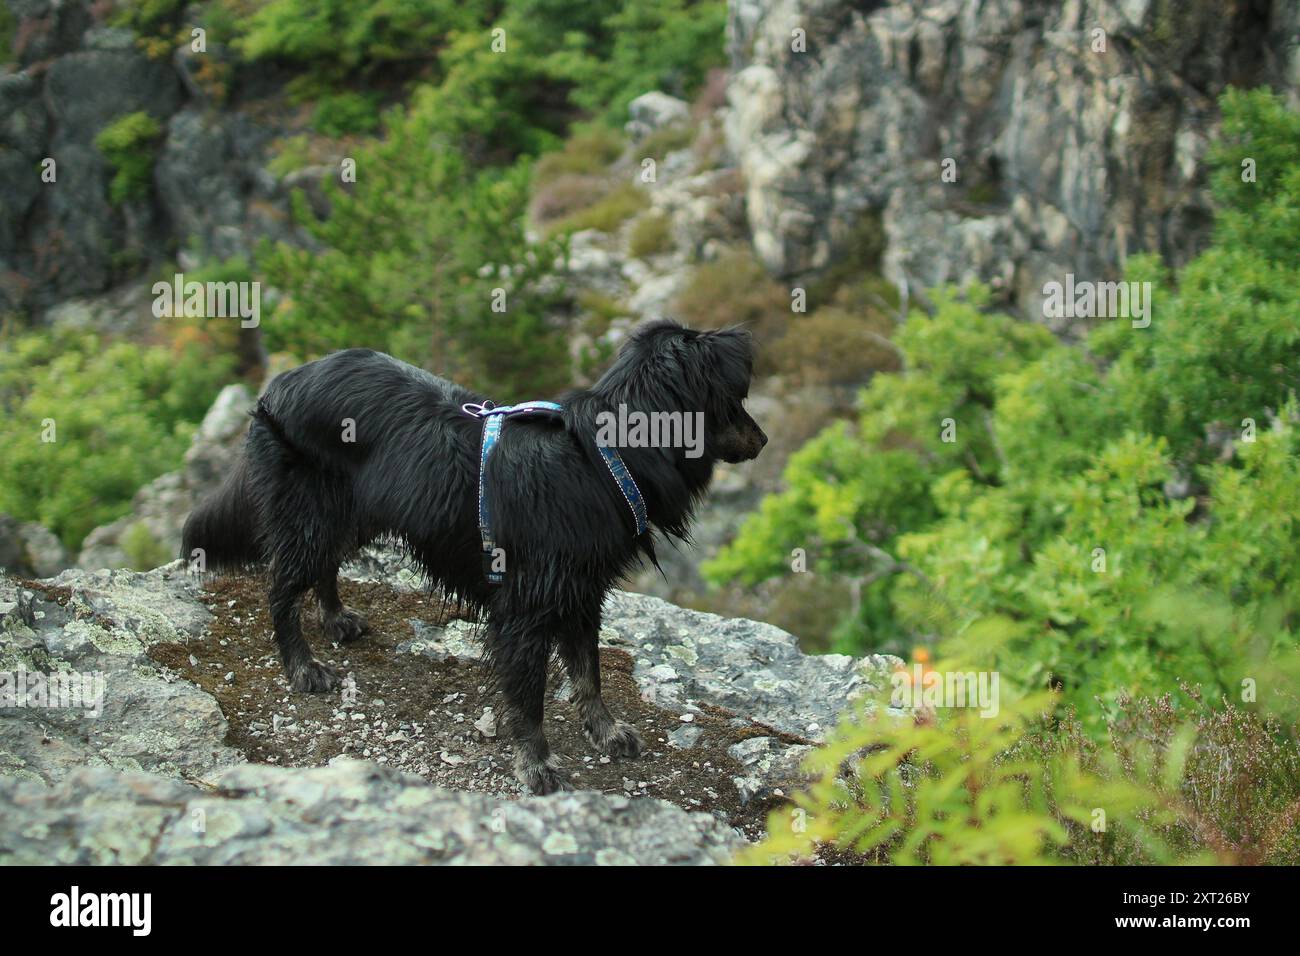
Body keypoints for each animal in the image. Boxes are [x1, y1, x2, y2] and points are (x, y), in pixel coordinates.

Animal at [185, 321, 769, 790]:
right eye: (737, 397)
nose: (763, 440)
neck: (601, 457)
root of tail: (279, 384)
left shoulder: (581, 595)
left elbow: (588, 672)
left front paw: (604, 730)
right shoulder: (526, 609)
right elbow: (529, 699)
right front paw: (535, 764)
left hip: (351, 512)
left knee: (323, 566)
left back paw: (335, 618)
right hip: (309, 513)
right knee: (281, 585)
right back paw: (303, 666)